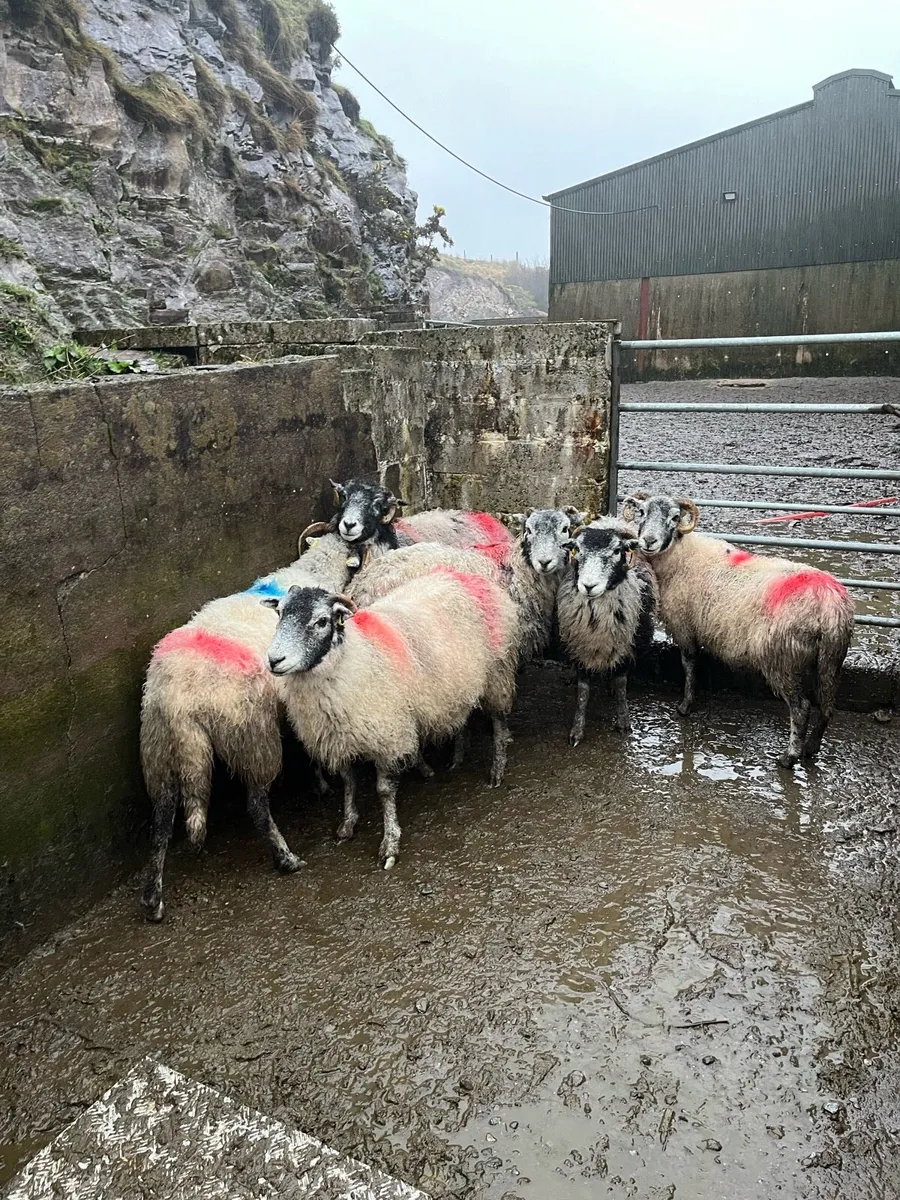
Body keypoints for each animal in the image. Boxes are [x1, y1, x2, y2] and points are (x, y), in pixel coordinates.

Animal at [139, 524, 353, 921]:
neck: (311, 572)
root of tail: (181, 704)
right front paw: (321, 783)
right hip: (252, 737)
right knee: (255, 805)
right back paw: (286, 858)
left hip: (159, 749)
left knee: (160, 824)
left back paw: (152, 900)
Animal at [264, 567, 519, 868]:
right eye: (279, 613)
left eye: (322, 621)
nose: (274, 660)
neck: (350, 660)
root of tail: (467, 577)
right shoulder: (341, 737)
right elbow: (348, 781)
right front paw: (348, 823)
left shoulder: (388, 735)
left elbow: (384, 790)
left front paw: (390, 844)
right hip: (460, 683)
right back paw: (456, 758)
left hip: (497, 671)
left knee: (499, 722)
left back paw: (497, 770)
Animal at [556, 517, 658, 744]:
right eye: (577, 549)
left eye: (617, 551)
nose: (588, 586)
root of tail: (610, 520)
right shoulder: (581, 648)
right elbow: (583, 692)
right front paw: (577, 730)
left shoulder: (627, 647)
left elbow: (621, 684)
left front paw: (623, 721)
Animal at [622, 492, 855, 768]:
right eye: (642, 512)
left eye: (675, 517)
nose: (649, 541)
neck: (681, 554)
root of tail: (830, 603)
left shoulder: (684, 625)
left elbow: (689, 664)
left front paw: (685, 706)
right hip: (830, 660)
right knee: (828, 705)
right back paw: (811, 747)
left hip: (782, 658)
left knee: (801, 707)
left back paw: (789, 757)